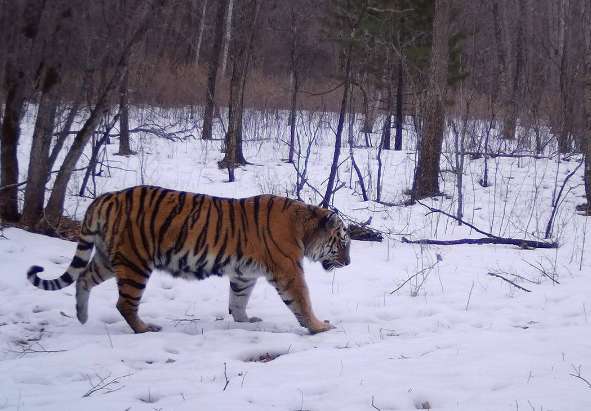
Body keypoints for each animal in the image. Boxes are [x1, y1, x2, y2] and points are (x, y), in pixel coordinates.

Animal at [26, 187, 352, 334]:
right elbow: (302, 300)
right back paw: (145, 329)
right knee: (124, 304)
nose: (349, 263)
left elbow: (238, 301)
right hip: (135, 262)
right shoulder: (288, 271)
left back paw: (81, 316)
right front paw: (320, 326)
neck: (304, 228)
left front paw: (245, 321)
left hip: (108, 257)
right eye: (343, 242)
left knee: (83, 278)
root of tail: (108, 196)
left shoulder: (243, 274)